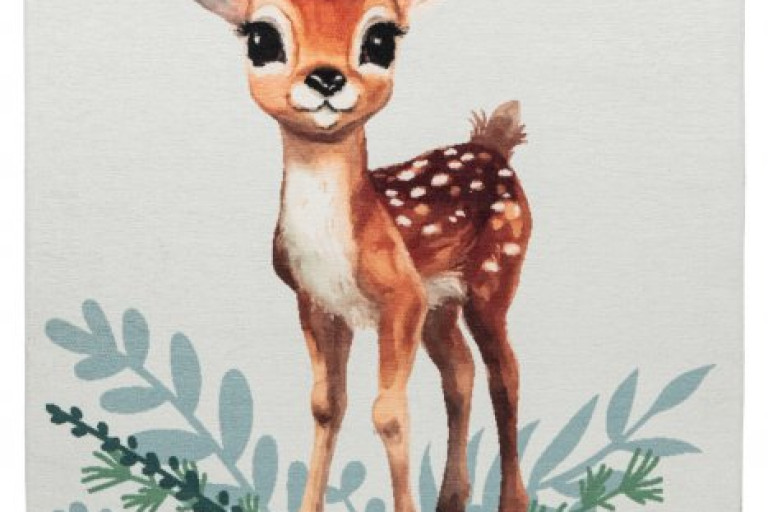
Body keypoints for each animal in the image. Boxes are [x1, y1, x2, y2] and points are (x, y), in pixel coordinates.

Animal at [189, 1, 532, 511]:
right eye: (261, 39)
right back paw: (451, 496)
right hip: (441, 304)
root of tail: (492, 145)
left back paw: (512, 500)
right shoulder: (318, 303)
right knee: (460, 370)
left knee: (504, 373)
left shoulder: (402, 296)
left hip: (495, 272)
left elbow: (388, 413)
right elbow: (327, 405)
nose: (326, 77)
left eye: (380, 40)